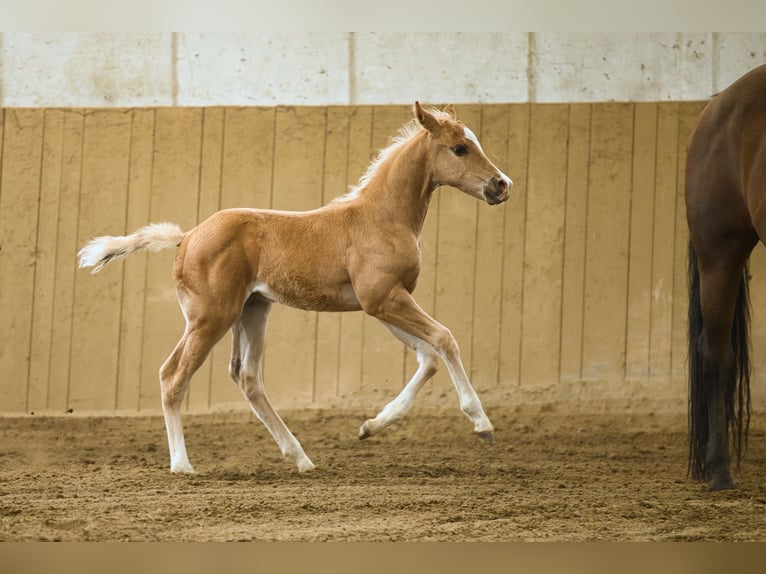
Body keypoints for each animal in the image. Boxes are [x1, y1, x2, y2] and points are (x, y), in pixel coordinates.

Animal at [78, 102, 512, 474]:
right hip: (210, 317)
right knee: (173, 376)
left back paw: (300, 458)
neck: (382, 217)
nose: (502, 185)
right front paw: (482, 423)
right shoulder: (384, 298)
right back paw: (183, 465)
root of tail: (186, 238)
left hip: (252, 310)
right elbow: (445, 338)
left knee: (247, 377)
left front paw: (370, 426)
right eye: (459, 148)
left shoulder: (383, 302)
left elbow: (429, 356)